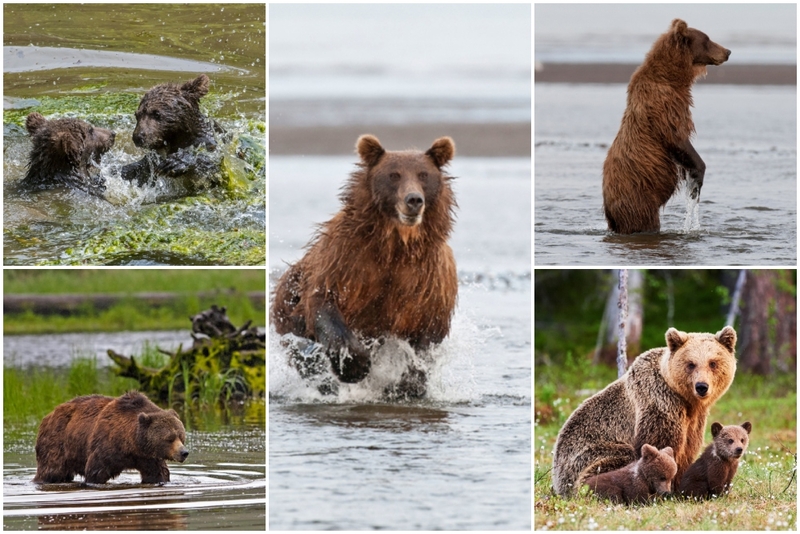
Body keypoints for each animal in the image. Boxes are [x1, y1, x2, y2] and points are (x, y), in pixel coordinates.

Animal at [36, 394, 191, 486]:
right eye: (169, 438)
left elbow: (158, 473)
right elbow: (96, 472)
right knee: (51, 470)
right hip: (57, 443)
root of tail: (48, 415)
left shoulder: (148, 457)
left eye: (181, 436)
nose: (184, 452)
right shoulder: (106, 446)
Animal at [270, 135, 456, 398]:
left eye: (423, 175)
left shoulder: (428, 281)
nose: (413, 200)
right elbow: (324, 302)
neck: (396, 246)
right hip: (286, 307)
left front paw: (408, 385)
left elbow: (427, 334)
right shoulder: (345, 261)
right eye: (394, 174)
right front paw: (353, 365)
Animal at [552, 326, 736, 498]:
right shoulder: (659, 403)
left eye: (713, 363)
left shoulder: (694, 420)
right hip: (587, 456)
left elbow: (687, 450)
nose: (701, 386)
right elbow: (660, 446)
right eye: (691, 364)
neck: (685, 400)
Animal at [600, 19, 732, 233]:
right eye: (707, 39)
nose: (728, 51)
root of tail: (609, 211)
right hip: (639, 200)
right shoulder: (664, 106)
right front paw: (697, 178)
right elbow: (676, 137)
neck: (672, 78)